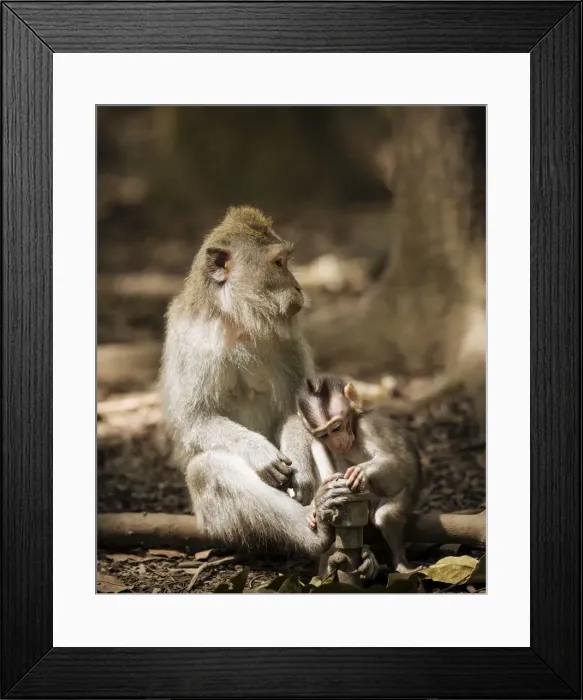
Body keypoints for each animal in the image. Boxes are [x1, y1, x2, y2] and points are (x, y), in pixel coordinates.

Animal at [160, 206, 352, 559]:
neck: (239, 321)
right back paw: (315, 530)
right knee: (206, 471)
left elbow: (299, 408)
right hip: (212, 520)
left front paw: (300, 468)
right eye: (278, 264)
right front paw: (259, 452)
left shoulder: (287, 339)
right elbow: (195, 421)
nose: (299, 287)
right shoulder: (193, 340)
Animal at [297, 375, 422, 574]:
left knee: (385, 516)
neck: (354, 428)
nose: (337, 443)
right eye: (324, 434)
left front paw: (361, 471)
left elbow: (395, 460)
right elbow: (318, 447)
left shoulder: (366, 428)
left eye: (336, 428)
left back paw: (401, 564)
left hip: (408, 496)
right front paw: (317, 502)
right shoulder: (320, 440)